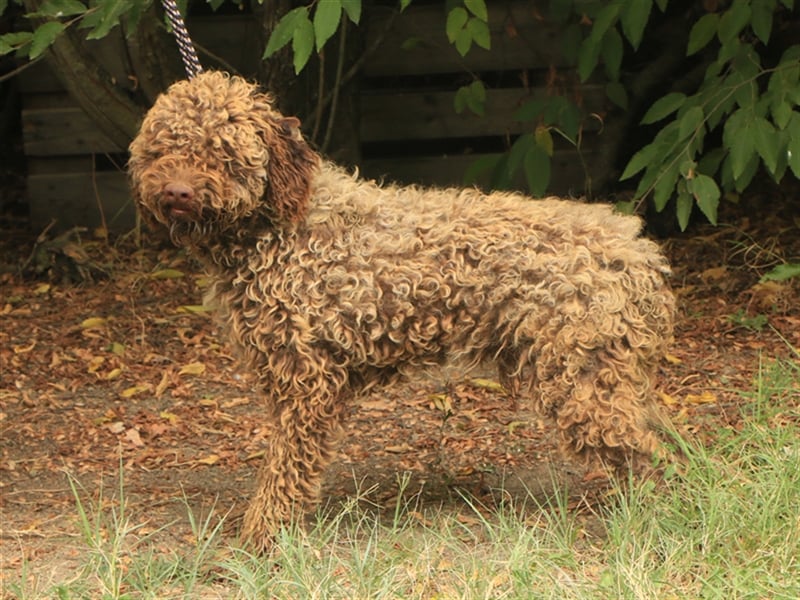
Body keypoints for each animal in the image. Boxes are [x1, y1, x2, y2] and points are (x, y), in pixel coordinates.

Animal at [130, 71, 676, 552]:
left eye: (221, 153)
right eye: (162, 148)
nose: (176, 192)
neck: (284, 230)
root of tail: (637, 253)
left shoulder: (307, 382)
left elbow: (287, 467)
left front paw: (266, 535)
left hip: (583, 382)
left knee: (653, 457)